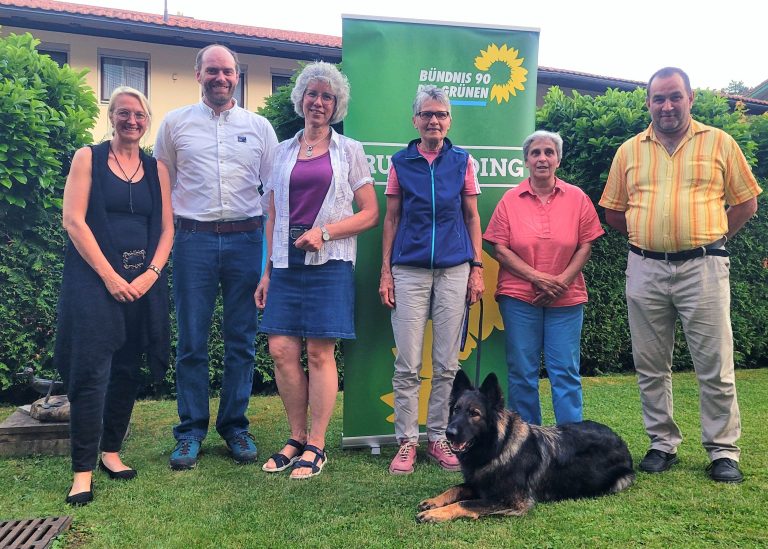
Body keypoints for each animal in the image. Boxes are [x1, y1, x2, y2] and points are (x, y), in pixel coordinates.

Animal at [416, 368, 632, 524]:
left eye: (474, 413)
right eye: (455, 410)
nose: (449, 433)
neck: (498, 448)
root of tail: (621, 441)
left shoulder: (512, 501)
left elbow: (465, 503)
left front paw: (437, 513)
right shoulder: (478, 484)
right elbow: (456, 488)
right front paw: (434, 501)